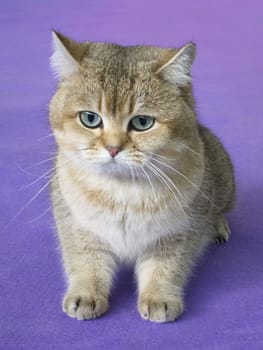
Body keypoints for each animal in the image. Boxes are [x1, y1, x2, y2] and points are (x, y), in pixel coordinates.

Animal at [49, 32, 235, 322]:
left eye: (142, 123)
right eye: (90, 118)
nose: (113, 148)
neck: (122, 190)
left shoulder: (177, 232)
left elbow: (165, 266)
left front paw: (159, 296)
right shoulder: (76, 223)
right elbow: (85, 260)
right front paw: (86, 293)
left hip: (224, 179)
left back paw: (216, 226)